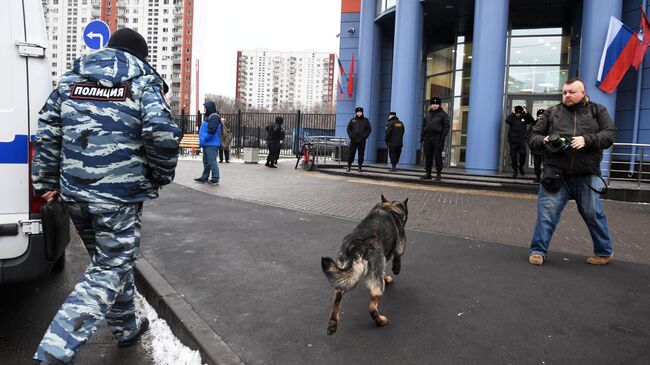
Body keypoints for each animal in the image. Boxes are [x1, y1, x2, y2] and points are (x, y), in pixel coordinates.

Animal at [322, 195, 408, 334]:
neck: (389, 206)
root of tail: (356, 247)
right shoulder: (400, 244)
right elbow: (398, 256)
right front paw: (396, 268)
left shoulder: (382, 260)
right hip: (376, 282)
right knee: (372, 306)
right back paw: (380, 321)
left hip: (343, 273)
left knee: (338, 293)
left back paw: (333, 323)